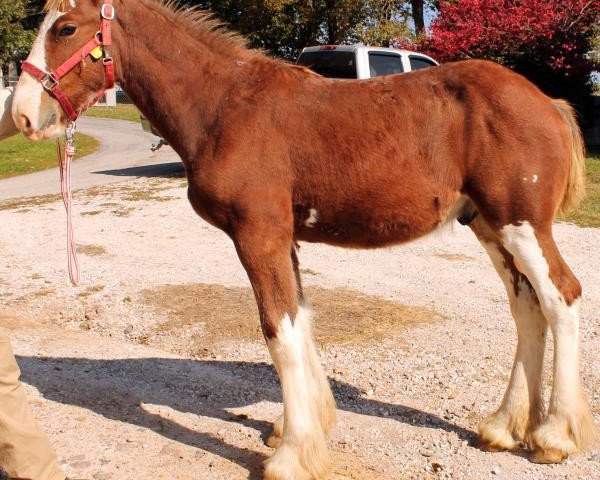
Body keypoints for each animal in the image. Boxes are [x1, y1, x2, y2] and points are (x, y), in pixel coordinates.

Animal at [9, 1, 596, 478]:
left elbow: (278, 330)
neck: (221, 108)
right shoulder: (284, 239)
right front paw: (305, 428)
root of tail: (548, 102)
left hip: (521, 225)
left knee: (561, 298)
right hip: (489, 226)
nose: (21, 115)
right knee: (527, 308)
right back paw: (504, 426)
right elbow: (301, 321)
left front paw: (291, 456)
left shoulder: (258, 235)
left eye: (65, 27)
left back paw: (555, 436)